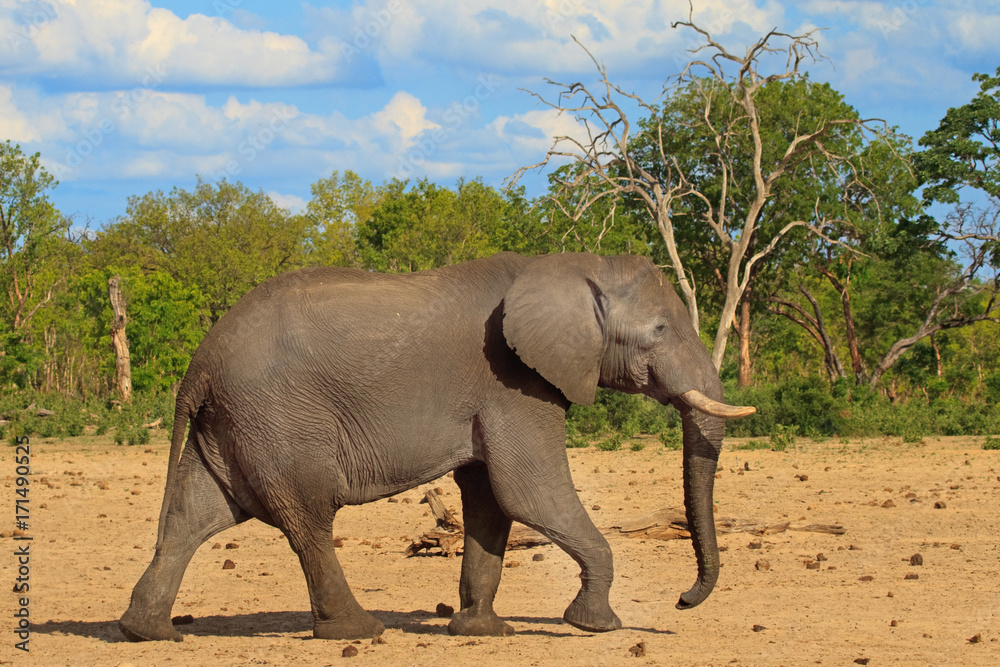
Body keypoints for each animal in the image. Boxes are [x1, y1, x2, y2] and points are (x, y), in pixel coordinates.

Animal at [119, 251, 754, 643]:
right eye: (660, 331)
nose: (683, 600)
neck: (572, 265)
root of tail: (198, 363)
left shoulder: (497, 395)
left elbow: (491, 500)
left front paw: (480, 631)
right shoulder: (514, 383)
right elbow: (529, 492)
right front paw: (595, 625)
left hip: (231, 424)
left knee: (194, 516)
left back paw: (146, 632)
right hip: (276, 418)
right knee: (310, 518)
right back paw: (357, 631)